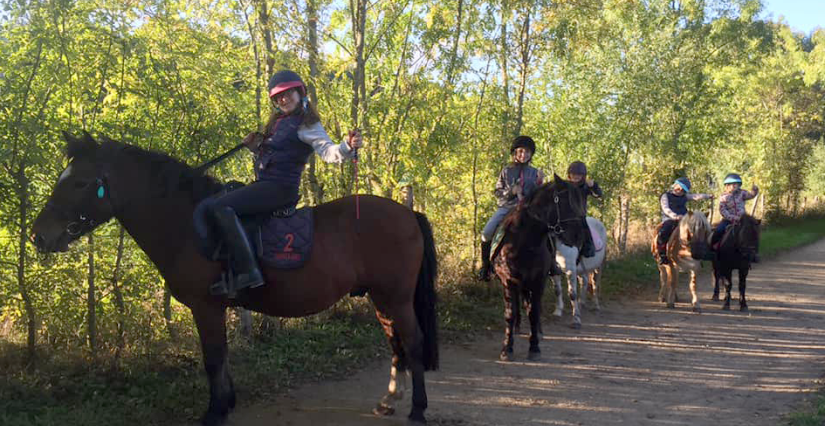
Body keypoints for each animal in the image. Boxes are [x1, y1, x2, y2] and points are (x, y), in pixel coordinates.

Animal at [31, 131, 440, 424]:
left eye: (80, 183)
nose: (39, 236)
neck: (185, 224)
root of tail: (407, 213)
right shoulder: (213, 308)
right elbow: (221, 357)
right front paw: (227, 403)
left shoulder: (205, 306)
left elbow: (213, 358)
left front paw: (215, 411)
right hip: (381, 297)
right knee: (395, 341)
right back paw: (389, 400)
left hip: (396, 296)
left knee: (413, 341)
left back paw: (418, 409)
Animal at [490, 175, 584, 362]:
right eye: (567, 202)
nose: (579, 235)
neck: (524, 242)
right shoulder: (508, 281)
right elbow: (510, 314)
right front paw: (507, 348)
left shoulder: (538, 281)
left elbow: (534, 312)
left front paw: (534, 347)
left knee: (531, 306)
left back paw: (538, 332)